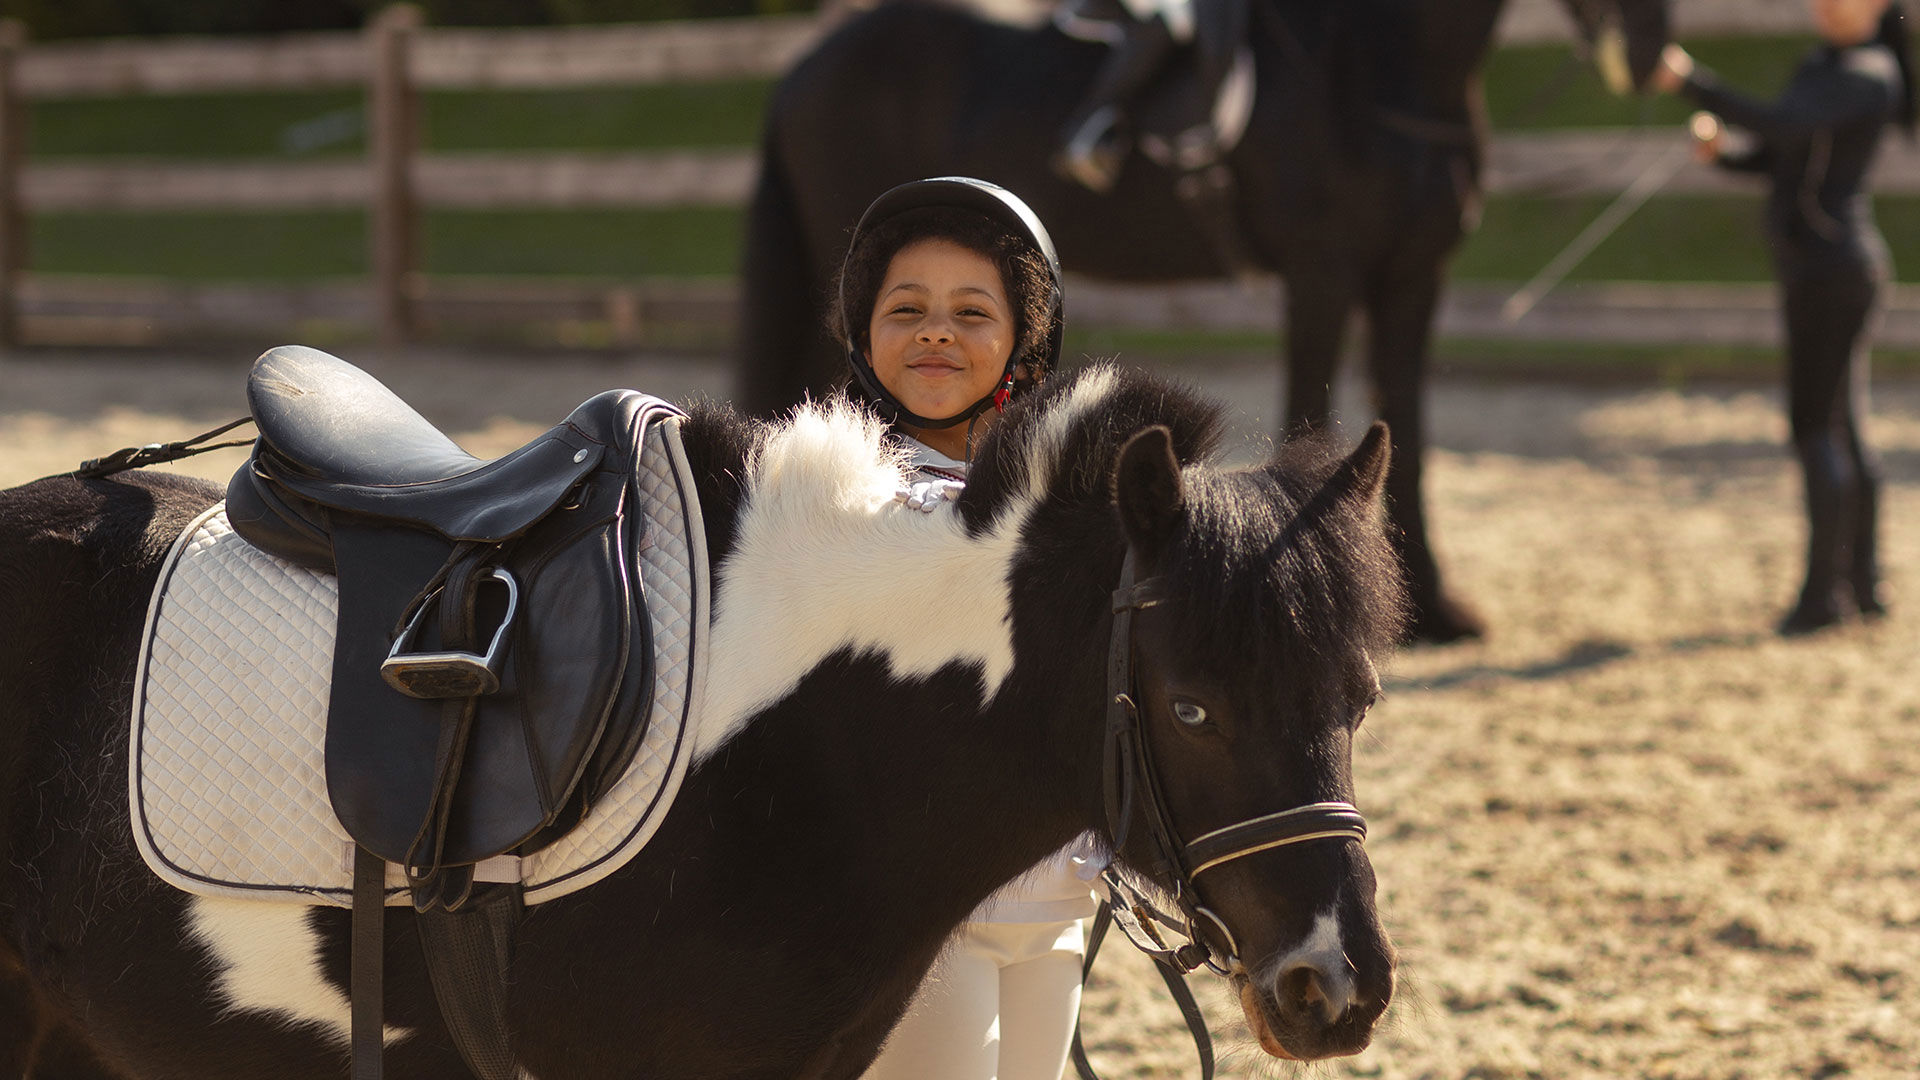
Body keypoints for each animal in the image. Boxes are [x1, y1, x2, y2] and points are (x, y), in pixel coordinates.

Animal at [733, 0, 1671, 643]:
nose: (1651, 53)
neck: (1371, 68)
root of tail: (807, 63)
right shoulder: (1322, 275)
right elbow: (1311, 410)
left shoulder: (1412, 279)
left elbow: (1406, 422)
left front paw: (1437, 609)